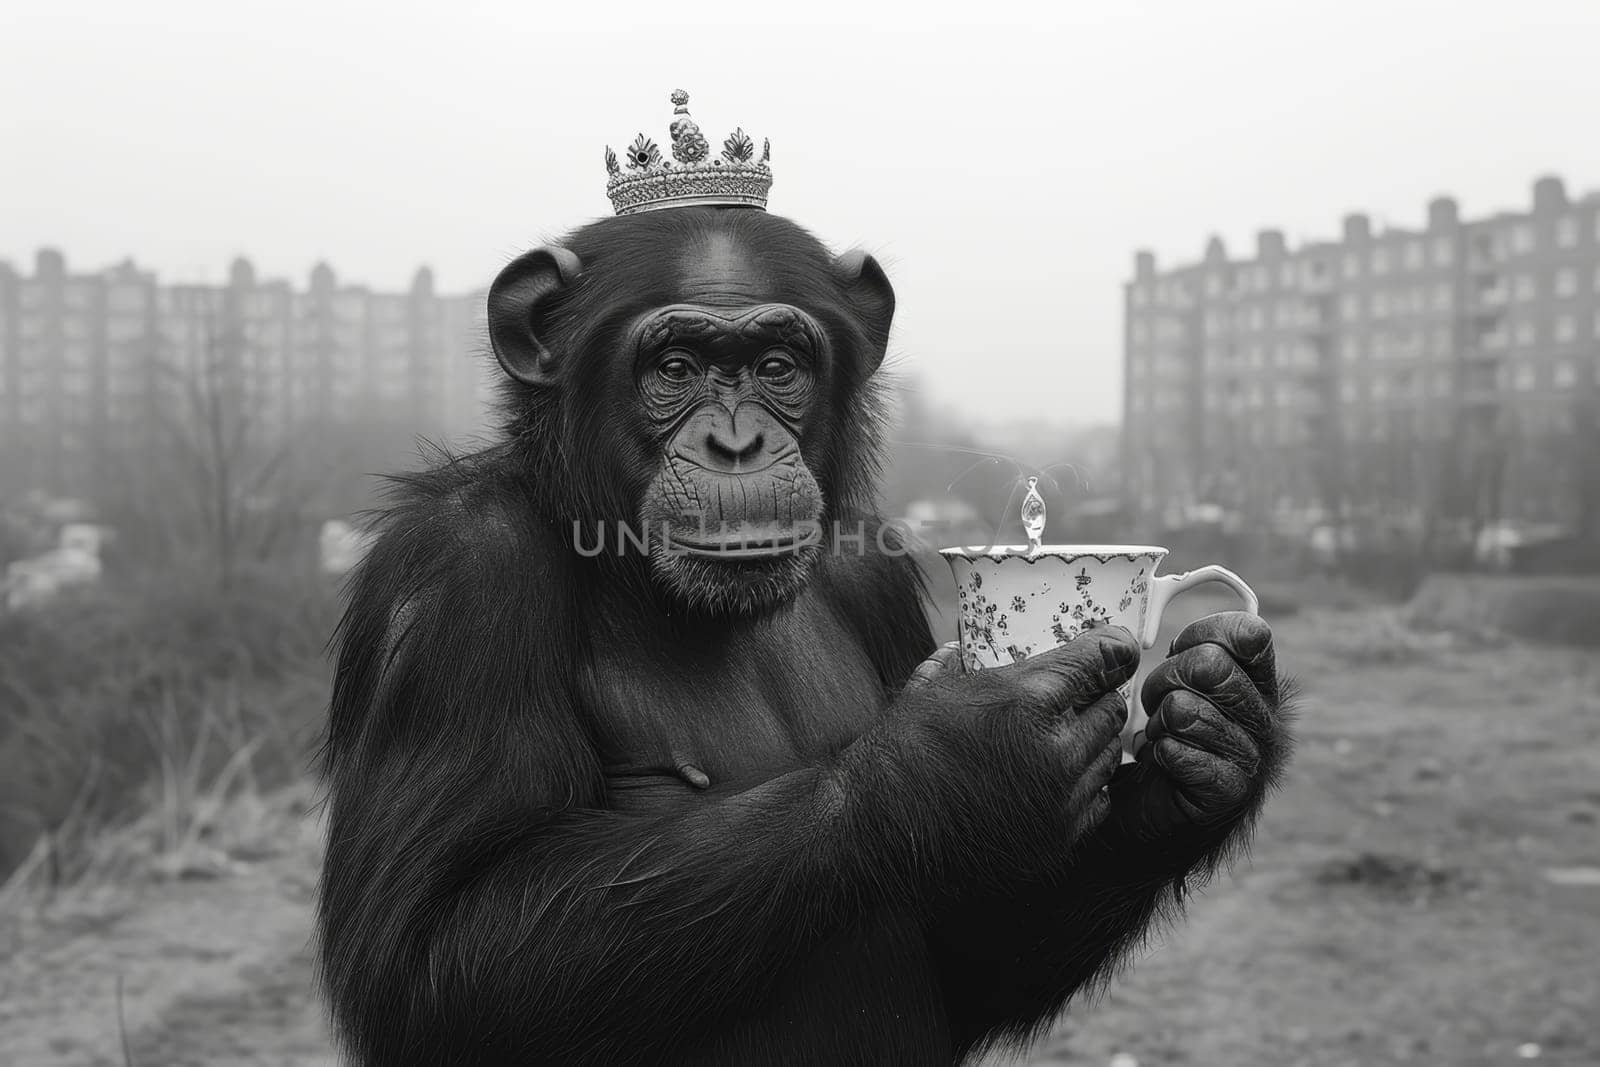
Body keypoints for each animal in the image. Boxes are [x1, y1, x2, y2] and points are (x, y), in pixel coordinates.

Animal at [315, 202, 1299, 1067]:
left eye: (778, 363)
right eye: (676, 365)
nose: (738, 443)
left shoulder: (875, 572)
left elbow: (965, 947)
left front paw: (1213, 732)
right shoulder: (454, 579)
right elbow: (432, 960)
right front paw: (959, 764)